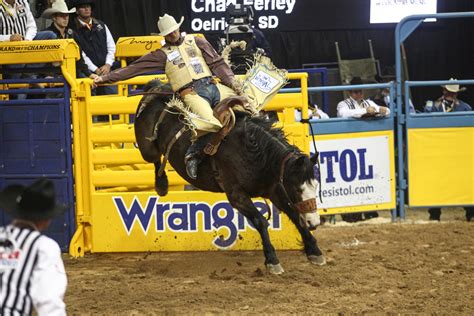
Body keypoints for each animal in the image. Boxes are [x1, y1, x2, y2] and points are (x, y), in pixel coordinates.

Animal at [134, 79, 326, 274]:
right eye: (297, 188)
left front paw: (314, 251)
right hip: (147, 148)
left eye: (316, 186)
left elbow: (294, 214)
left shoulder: (274, 189)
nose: (314, 222)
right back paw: (162, 184)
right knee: (154, 158)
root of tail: (156, 86)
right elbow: (261, 221)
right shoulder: (236, 195)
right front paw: (272, 260)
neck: (256, 153)